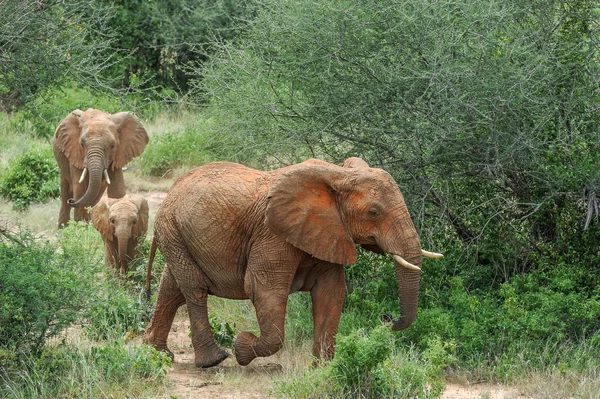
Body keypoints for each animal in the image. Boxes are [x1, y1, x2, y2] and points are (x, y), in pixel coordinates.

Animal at [142, 157, 438, 368]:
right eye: (374, 212)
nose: (387, 317)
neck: (337, 175)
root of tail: (172, 190)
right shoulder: (272, 234)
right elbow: (265, 291)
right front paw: (241, 347)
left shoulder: (327, 231)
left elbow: (331, 293)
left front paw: (324, 369)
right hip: (173, 230)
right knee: (194, 289)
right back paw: (213, 360)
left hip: (177, 235)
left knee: (172, 288)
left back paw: (158, 354)